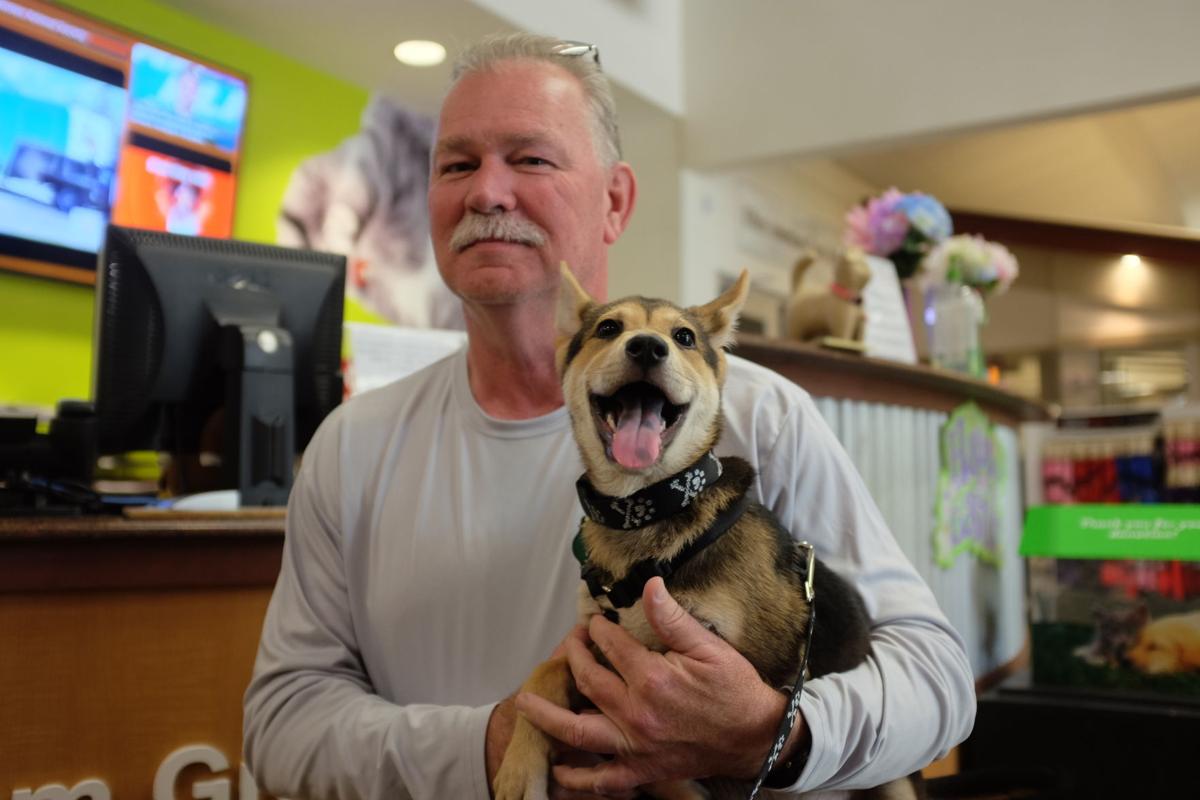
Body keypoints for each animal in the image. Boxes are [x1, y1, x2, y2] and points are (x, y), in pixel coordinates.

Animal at [492, 266, 921, 796]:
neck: (646, 507)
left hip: (898, 782)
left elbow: (678, 763)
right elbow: (546, 671)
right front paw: (518, 765)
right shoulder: (596, 637)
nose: (647, 347)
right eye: (609, 328)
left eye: (684, 337)